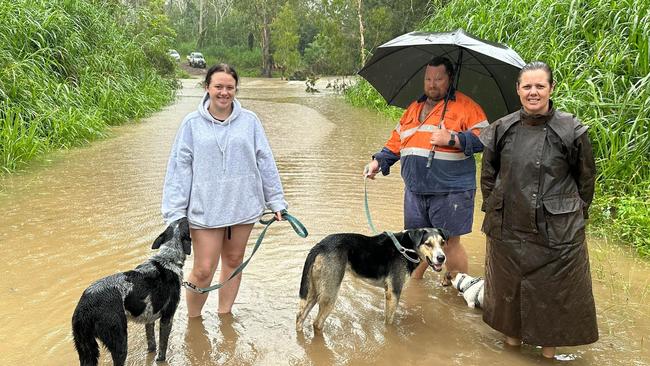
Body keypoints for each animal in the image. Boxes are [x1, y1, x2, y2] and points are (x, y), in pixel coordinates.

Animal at [73, 217, 191, 366]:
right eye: (186, 224)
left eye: (178, 221)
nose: (185, 217)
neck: (168, 258)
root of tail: (85, 305)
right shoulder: (167, 318)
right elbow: (162, 348)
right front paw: (160, 360)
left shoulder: (149, 318)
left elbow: (152, 344)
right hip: (119, 341)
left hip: (85, 347)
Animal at [294, 227, 446, 330]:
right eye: (428, 244)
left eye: (443, 242)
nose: (442, 258)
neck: (407, 246)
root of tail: (319, 246)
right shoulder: (394, 292)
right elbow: (389, 321)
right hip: (329, 294)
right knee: (317, 323)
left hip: (314, 291)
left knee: (300, 317)